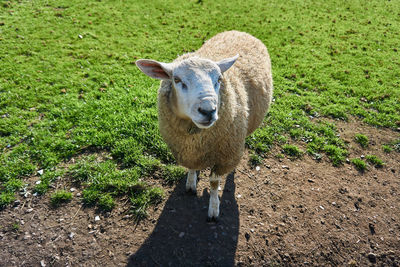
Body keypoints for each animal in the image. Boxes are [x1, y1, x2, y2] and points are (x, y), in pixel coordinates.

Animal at [136, 30, 274, 221]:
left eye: (219, 79)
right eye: (176, 79)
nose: (208, 110)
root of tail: (239, 31)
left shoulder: (223, 157)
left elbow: (214, 183)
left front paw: (214, 209)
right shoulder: (189, 151)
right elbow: (192, 168)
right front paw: (190, 184)